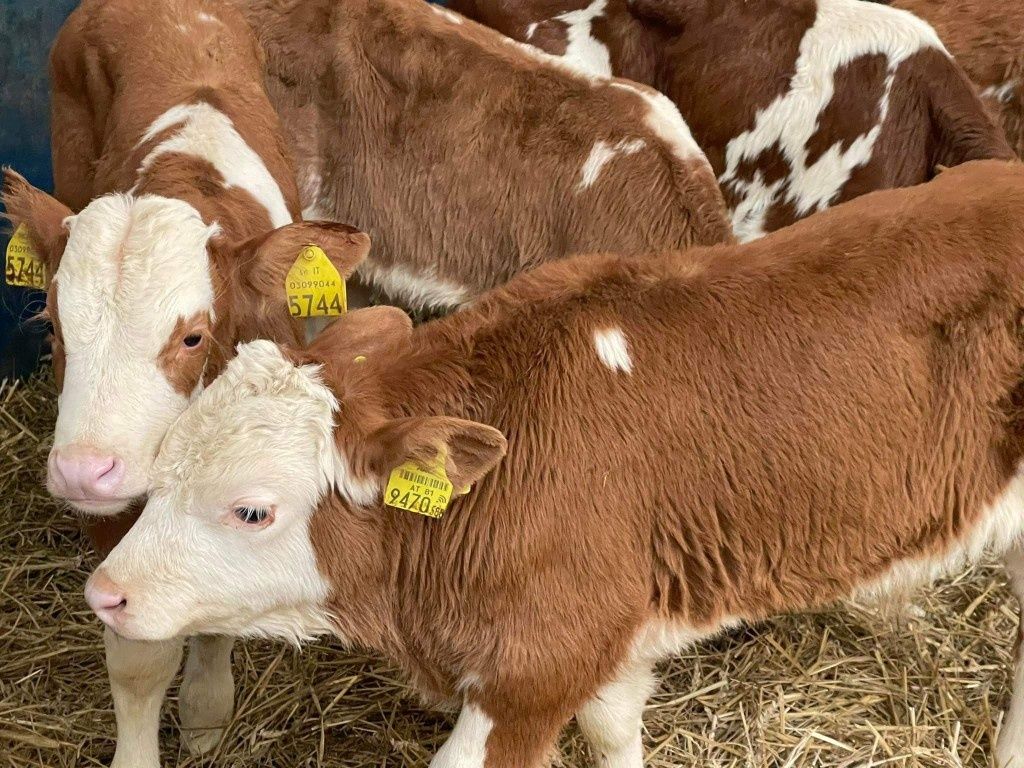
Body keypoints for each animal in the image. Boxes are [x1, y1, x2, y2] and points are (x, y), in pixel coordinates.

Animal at [3, 1, 372, 768]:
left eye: (193, 337)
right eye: (53, 325)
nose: (81, 469)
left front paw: (205, 716)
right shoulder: (110, 504)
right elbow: (139, 655)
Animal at [83, 159, 1024, 765]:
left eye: (253, 509)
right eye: (166, 465)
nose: (105, 593)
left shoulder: (535, 664)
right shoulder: (608, 634)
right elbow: (613, 734)